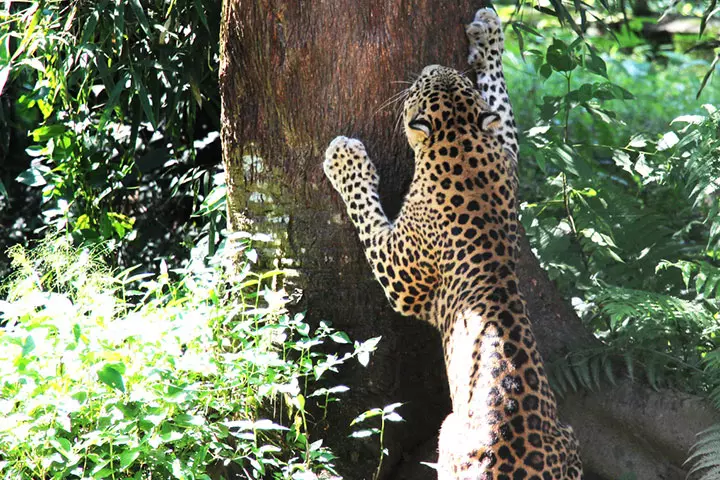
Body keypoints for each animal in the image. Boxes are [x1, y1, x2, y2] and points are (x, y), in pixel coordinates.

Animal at [324, 7, 584, 480]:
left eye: (419, 87)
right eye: (445, 79)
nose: (429, 65)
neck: (459, 141)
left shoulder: (402, 278)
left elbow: (365, 210)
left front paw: (345, 159)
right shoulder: (506, 146)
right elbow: (500, 97)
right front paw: (489, 34)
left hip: (448, 438)